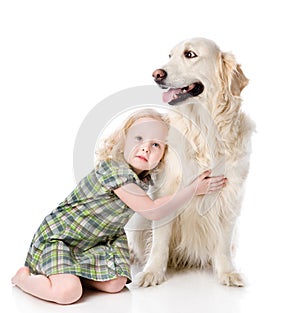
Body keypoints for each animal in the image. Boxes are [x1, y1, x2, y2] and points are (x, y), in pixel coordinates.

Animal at [125, 36, 254, 286]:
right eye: (170, 56)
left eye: (190, 54)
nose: (156, 74)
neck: (203, 127)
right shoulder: (166, 190)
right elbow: (159, 241)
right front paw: (152, 272)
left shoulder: (230, 194)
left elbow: (223, 242)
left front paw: (227, 272)